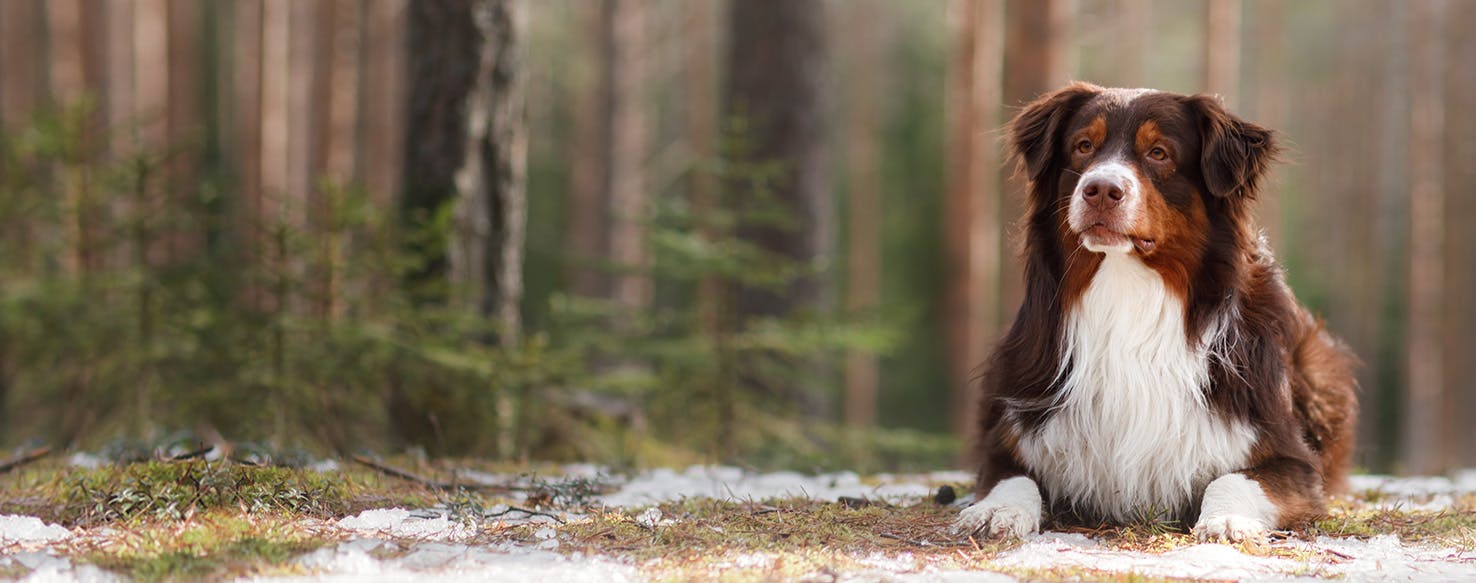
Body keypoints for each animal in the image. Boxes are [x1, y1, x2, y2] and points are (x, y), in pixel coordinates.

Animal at [956, 82, 1357, 543]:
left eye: (1159, 153)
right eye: (1083, 146)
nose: (1101, 189)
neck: (1128, 293)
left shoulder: (1291, 459)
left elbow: (1233, 478)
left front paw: (1228, 520)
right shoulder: (1013, 433)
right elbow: (1013, 477)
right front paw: (996, 510)